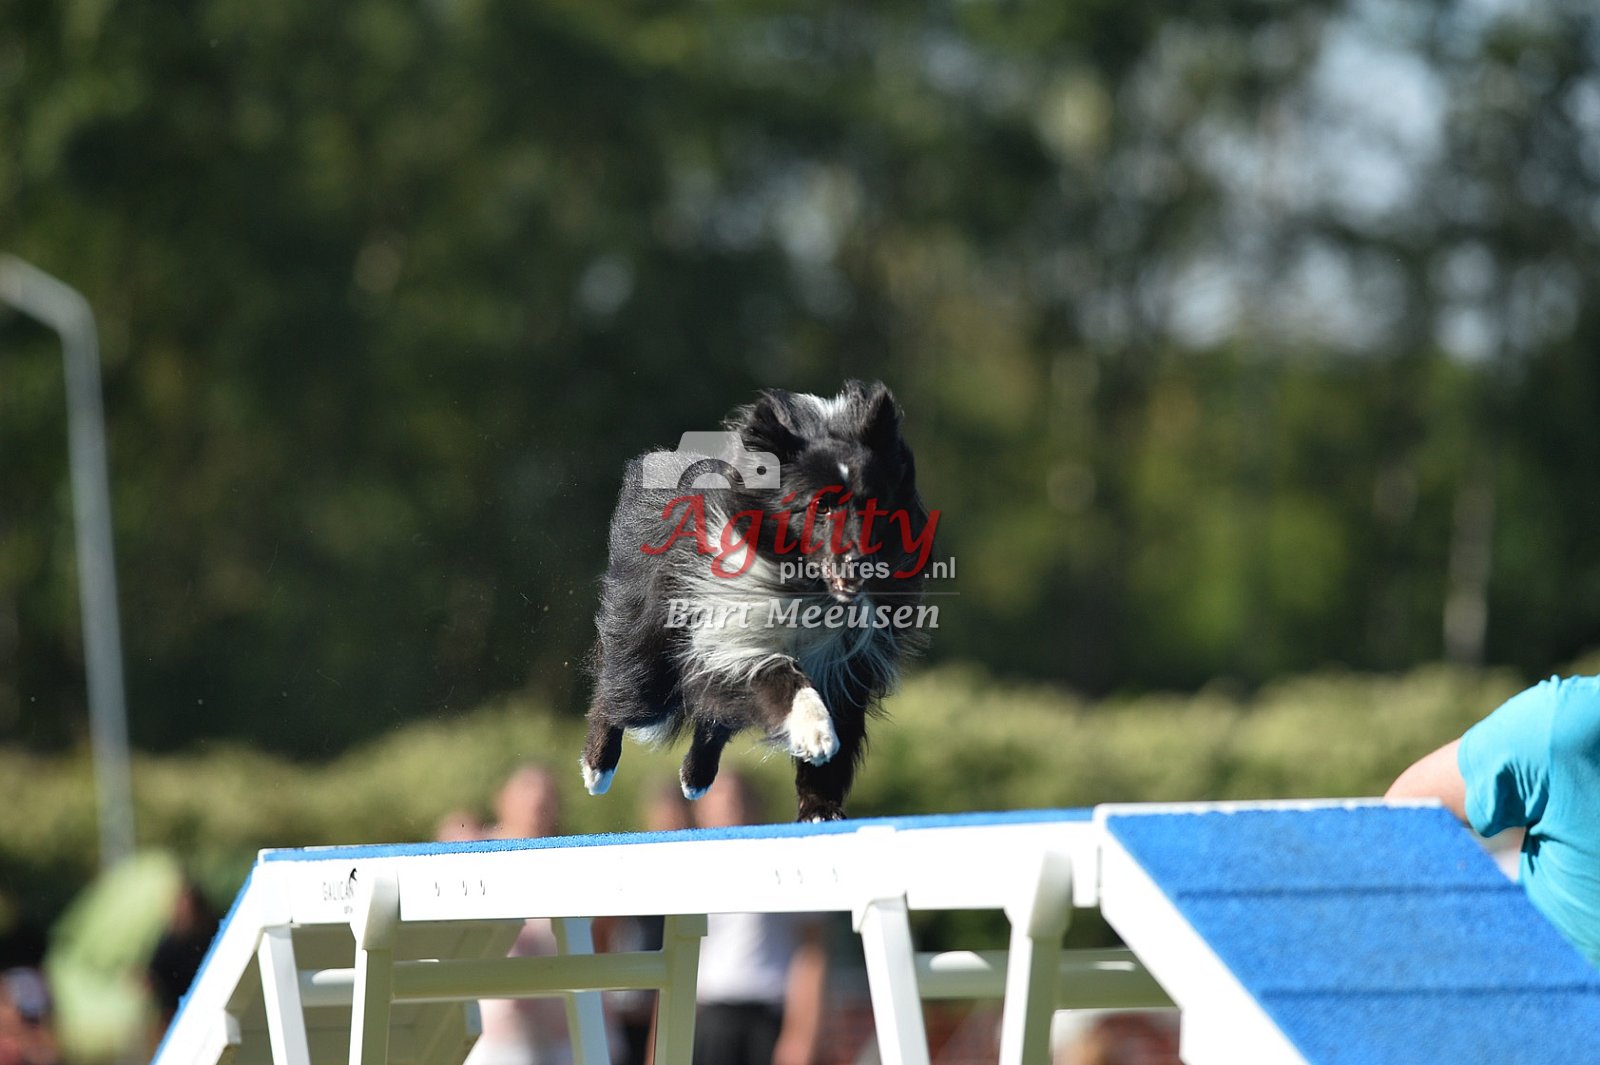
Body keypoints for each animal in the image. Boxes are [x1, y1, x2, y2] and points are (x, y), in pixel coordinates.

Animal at [579, 381, 933, 821]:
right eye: (821, 505)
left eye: (874, 502)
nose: (859, 562)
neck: (809, 588)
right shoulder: (731, 635)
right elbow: (780, 675)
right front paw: (815, 731)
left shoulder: (847, 664)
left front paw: (820, 808)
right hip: (650, 657)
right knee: (621, 694)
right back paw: (597, 768)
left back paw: (695, 778)